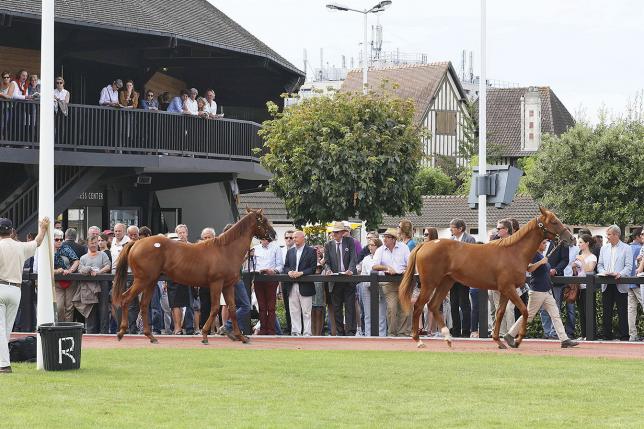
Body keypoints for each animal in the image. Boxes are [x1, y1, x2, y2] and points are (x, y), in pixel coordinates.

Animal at [113, 206, 274, 342]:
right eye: (264, 220)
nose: (273, 235)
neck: (226, 250)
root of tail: (137, 243)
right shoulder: (216, 283)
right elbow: (214, 308)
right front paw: (205, 335)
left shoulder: (227, 286)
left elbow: (233, 309)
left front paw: (240, 337)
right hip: (142, 280)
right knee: (125, 299)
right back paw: (121, 332)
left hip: (151, 281)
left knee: (144, 305)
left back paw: (150, 336)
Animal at [398, 206, 572, 350]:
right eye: (554, 221)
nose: (570, 238)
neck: (513, 252)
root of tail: (425, 244)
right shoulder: (508, 288)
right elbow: (524, 310)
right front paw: (516, 340)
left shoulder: (504, 290)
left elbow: (500, 313)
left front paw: (499, 341)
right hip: (429, 283)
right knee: (419, 306)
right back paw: (419, 340)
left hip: (446, 282)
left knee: (433, 306)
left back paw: (448, 338)